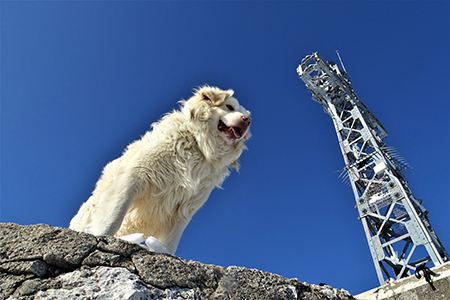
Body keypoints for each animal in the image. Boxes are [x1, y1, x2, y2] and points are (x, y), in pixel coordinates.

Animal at [71, 86, 253, 253]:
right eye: (229, 106)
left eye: (247, 116)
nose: (247, 120)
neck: (199, 146)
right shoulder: (133, 179)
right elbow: (113, 217)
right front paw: (100, 237)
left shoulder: (183, 210)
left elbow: (170, 241)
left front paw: (162, 252)